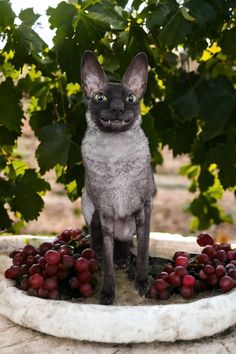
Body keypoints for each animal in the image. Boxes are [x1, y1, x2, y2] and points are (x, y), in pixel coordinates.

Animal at [80, 50, 156, 304]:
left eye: (130, 98)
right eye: (101, 97)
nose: (116, 108)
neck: (116, 154)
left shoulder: (144, 209)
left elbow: (142, 250)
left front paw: (142, 282)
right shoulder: (105, 215)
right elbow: (107, 262)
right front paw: (107, 292)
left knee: (126, 243)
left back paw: (123, 257)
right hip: (89, 206)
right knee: (97, 239)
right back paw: (98, 251)